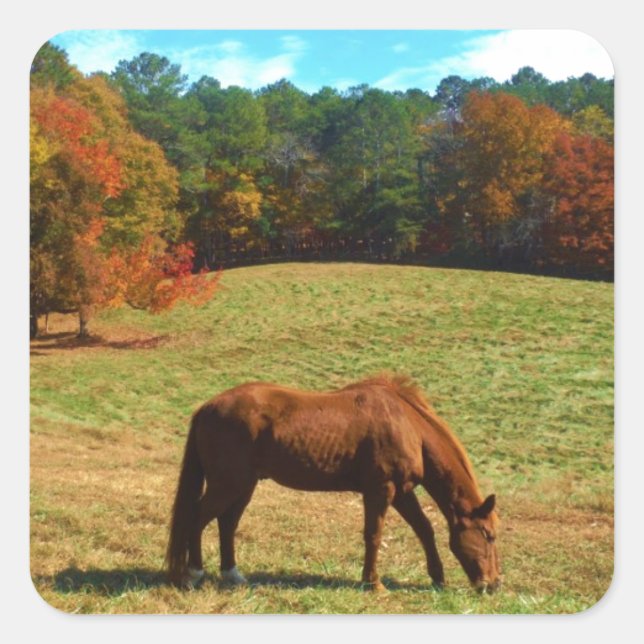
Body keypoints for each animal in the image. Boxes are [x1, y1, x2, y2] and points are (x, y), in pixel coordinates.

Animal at [166, 375, 501, 593]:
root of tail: (207, 407)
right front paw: (373, 583)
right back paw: (193, 573)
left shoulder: (402, 493)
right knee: (197, 519)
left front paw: (437, 577)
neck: (409, 426)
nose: (494, 584)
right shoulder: (381, 490)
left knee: (227, 524)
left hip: (243, 486)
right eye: (488, 535)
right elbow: (374, 535)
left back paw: (232, 574)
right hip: (228, 485)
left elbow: (424, 529)